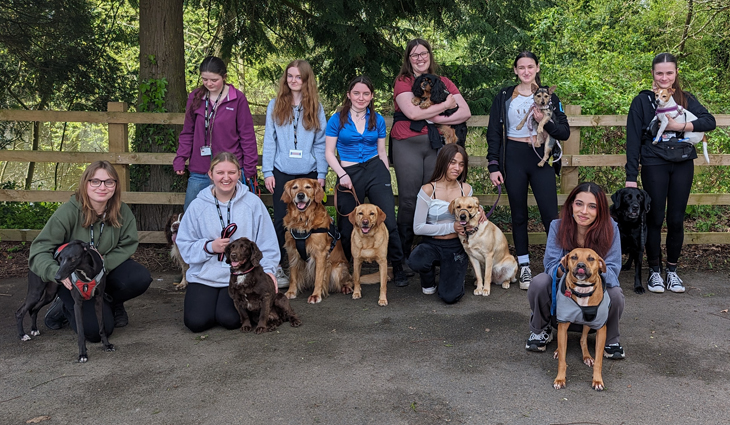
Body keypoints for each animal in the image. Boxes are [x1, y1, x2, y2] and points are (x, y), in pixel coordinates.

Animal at [552, 248, 608, 390]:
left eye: (591, 258)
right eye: (574, 257)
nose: (581, 265)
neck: (583, 290)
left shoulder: (601, 330)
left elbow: (599, 361)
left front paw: (597, 380)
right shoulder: (563, 326)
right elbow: (562, 360)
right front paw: (560, 379)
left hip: (588, 323)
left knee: (583, 339)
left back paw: (587, 356)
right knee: (562, 343)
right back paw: (557, 351)